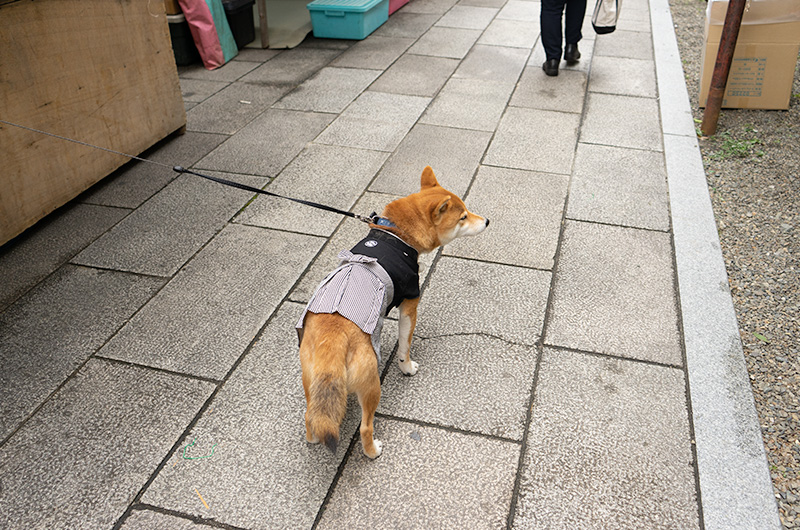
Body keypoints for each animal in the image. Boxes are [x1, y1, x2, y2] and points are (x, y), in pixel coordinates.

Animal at [298, 166, 490, 458]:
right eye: (463, 217)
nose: (488, 221)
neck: (395, 233)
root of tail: (333, 342)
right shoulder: (410, 302)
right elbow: (405, 345)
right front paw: (407, 367)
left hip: (310, 380)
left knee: (312, 415)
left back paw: (312, 439)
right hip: (370, 383)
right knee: (365, 427)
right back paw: (373, 450)